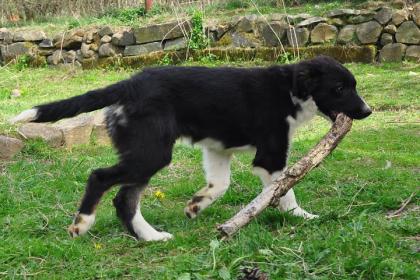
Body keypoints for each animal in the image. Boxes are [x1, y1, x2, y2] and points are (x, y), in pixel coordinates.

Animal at [10, 55, 370, 242]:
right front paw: (302, 216)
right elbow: (285, 188)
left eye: (353, 86)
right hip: (151, 152)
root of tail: (129, 84)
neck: (291, 89)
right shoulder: (271, 155)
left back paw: (150, 236)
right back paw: (83, 223)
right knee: (100, 178)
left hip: (144, 152)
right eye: (340, 88)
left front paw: (196, 205)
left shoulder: (218, 150)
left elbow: (220, 184)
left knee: (124, 199)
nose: (367, 112)